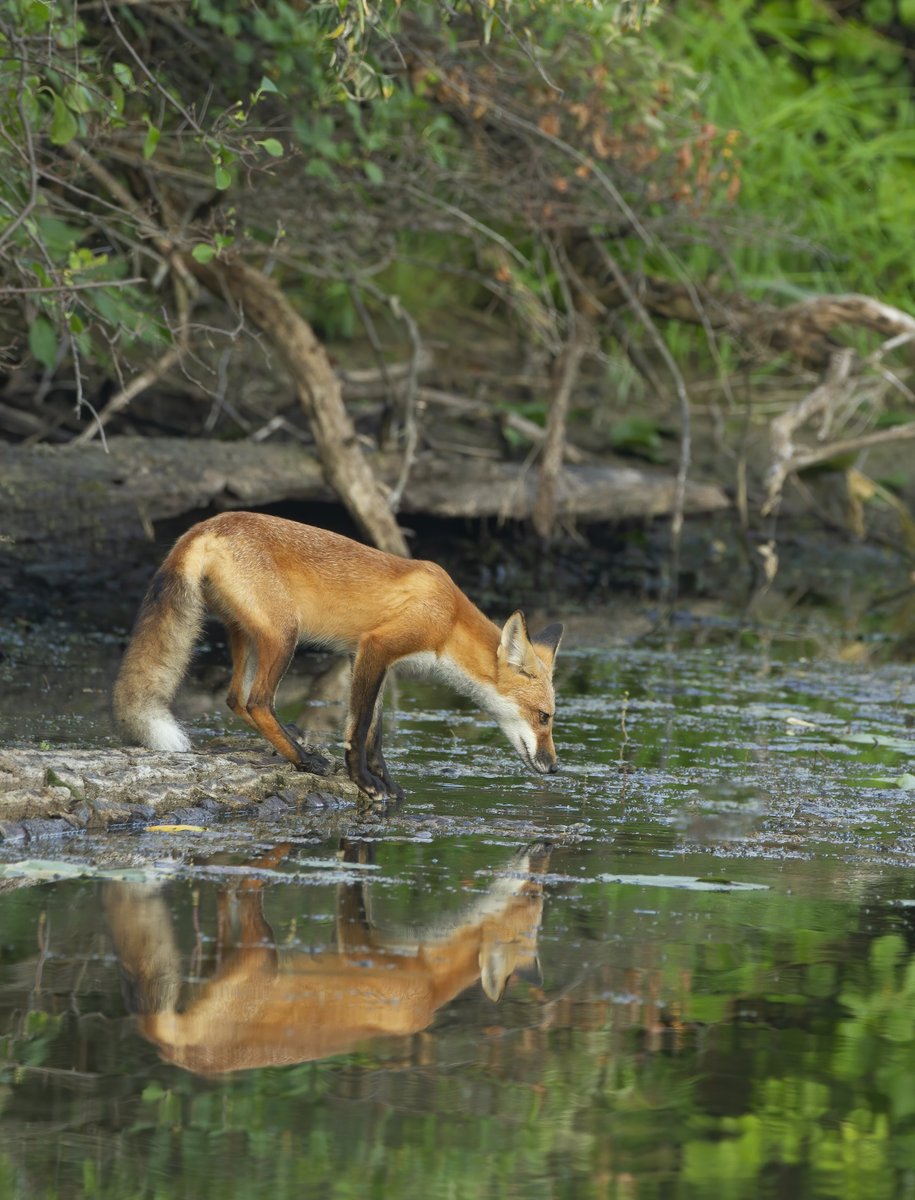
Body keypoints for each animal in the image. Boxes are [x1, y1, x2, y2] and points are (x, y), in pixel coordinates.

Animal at [110, 513, 559, 801]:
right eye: (544, 717)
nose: (555, 768)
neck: (449, 619)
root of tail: (207, 525)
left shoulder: (365, 658)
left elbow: (376, 732)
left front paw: (386, 784)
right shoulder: (376, 647)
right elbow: (358, 731)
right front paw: (363, 781)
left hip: (247, 635)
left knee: (235, 699)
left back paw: (291, 745)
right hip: (284, 636)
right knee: (257, 701)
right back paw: (305, 760)